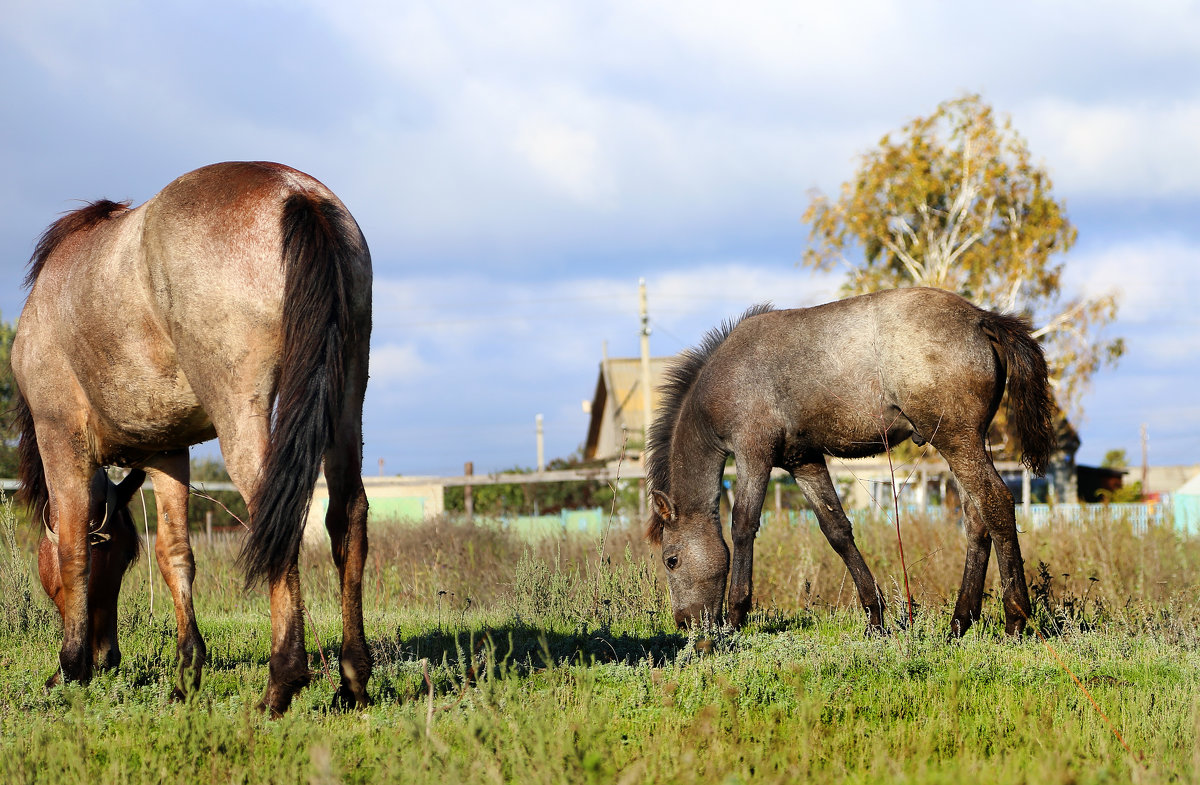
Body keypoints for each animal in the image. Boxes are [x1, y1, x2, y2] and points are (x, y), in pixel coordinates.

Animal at [10, 163, 369, 715]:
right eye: (122, 557)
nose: (106, 655)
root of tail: (295, 191)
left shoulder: (60, 438)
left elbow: (72, 549)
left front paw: (69, 668)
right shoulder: (166, 451)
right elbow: (175, 554)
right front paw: (186, 675)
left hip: (242, 413)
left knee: (278, 517)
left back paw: (281, 682)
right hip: (346, 398)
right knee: (347, 518)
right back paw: (352, 683)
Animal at [648, 289, 1051, 638]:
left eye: (671, 560)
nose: (684, 623)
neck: (727, 376)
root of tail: (980, 318)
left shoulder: (754, 453)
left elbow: (743, 525)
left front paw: (735, 617)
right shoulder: (803, 460)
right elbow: (836, 530)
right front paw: (875, 616)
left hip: (957, 440)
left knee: (996, 502)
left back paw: (1014, 618)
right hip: (964, 442)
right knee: (975, 519)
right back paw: (959, 623)